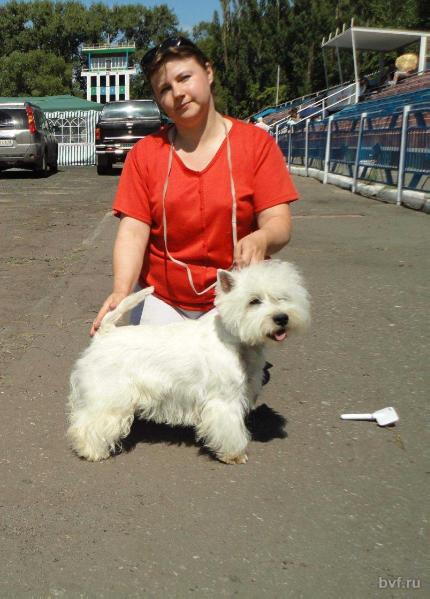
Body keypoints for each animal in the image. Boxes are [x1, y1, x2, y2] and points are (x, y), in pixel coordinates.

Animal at [67, 262, 310, 464]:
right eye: (254, 301)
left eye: (283, 298)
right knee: (91, 423)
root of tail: (106, 332)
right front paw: (234, 455)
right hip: (110, 395)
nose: (281, 318)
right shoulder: (224, 400)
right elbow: (230, 428)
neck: (235, 340)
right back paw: (92, 451)